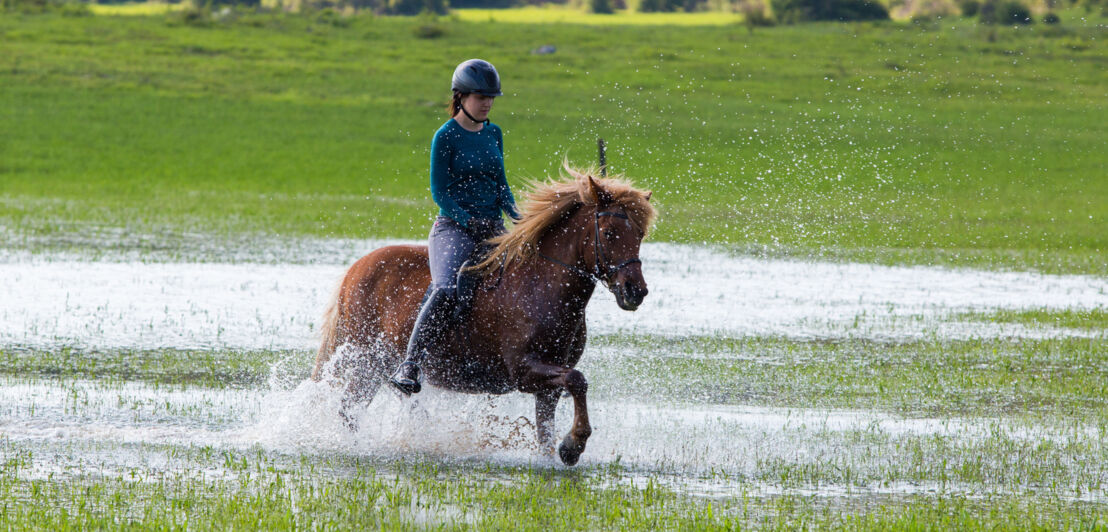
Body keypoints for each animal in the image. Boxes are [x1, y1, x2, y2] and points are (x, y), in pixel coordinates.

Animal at [312, 166, 651, 465]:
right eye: (609, 233)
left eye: (640, 234)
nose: (636, 291)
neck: (542, 285)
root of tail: (357, 268)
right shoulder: (524, 371)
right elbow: (578, 380)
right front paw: (573, 444)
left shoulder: (548, 385)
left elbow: (547, 428)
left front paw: (561, 452)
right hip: (366, 360)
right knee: (350, 407)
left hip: (377, 365)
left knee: (360, 406)